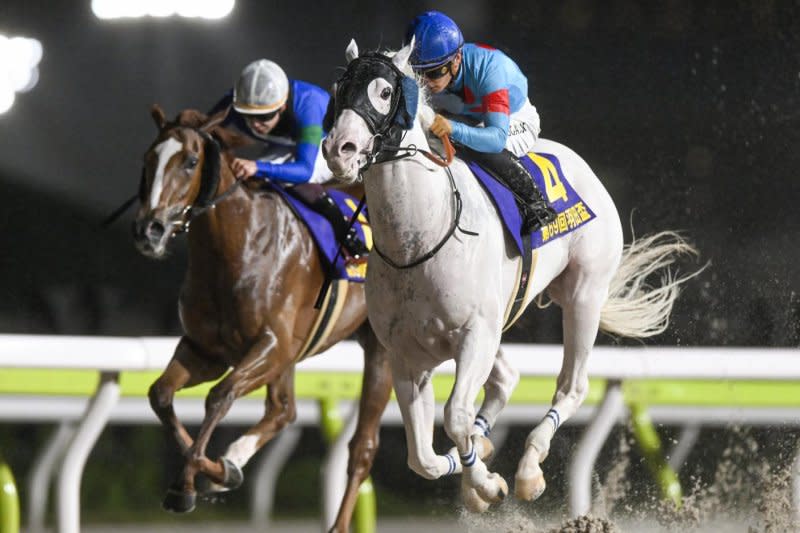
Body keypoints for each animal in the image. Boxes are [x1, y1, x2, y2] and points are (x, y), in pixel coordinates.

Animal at [134, 105, 390, 532]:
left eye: (189, 162)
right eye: (148, 159)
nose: (149, 230)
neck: (237, 247)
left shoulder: (271, 344)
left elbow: (219, 396)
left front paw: (185, 485)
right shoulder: (206, 350)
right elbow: (161, 395)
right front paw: (220, 470)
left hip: (379, 347)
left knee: (362, 448)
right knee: (284, 411)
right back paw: (234, 458)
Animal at [322, 38, 696, 512]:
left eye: (385, 92)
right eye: (338, 89)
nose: (339, 148)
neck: (417, 242)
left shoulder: (474, 335)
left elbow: (455, 415)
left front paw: (485, 482)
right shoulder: (406, 355)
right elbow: (422, 459)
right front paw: (472, 474)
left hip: (583, 294)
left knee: (571, 386)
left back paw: (529, 470)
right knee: (506, 379)